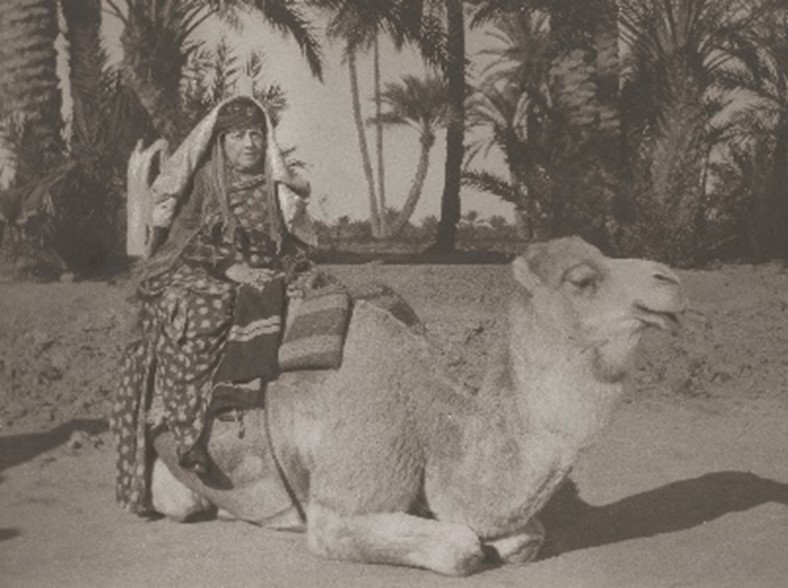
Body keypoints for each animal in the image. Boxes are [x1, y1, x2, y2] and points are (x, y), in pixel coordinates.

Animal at [146, 237, 684, 576]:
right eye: (582, 280)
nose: (671, 279)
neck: (432, 422)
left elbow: (526, 537)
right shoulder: (340, 508)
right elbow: (461, 547)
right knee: (183, 500)